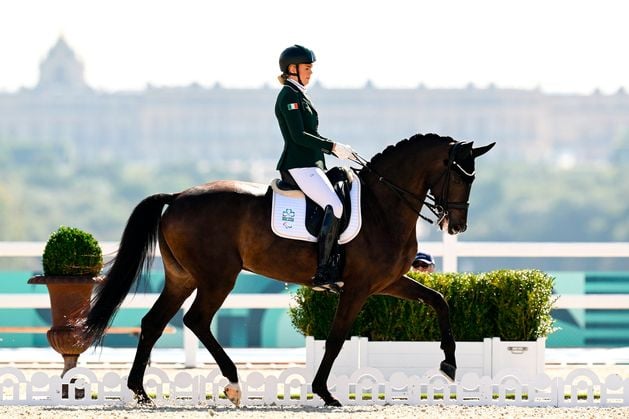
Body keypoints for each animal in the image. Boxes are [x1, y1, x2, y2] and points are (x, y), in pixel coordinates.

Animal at [82, 134, 496, 406]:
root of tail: (177, 196)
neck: (383, 207)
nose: (457, 227)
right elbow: (335, 338)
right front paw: (325, 392)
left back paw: (141, 392)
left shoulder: (387, 282)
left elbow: (439, 300)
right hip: (218, 277)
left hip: (182, 277)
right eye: (460, 175)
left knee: (153, 322)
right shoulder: (358, 287)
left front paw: (449, 364)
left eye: (473, 178)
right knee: (196, 320)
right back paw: (232, 383)